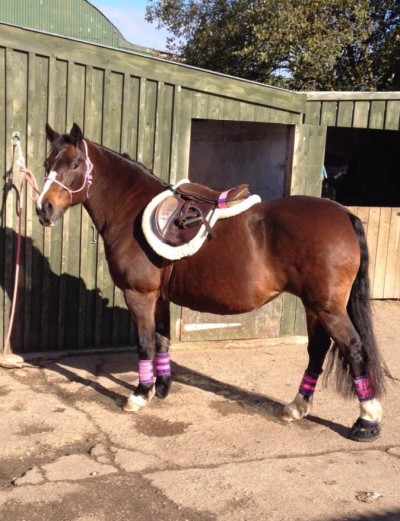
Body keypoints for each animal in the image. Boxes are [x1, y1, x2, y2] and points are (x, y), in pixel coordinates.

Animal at [36, 122, 386, 438]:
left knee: (354, 349)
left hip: (327, 308)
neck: (132, 211)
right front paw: (161, 388)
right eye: (46, 164)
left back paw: (366, 421)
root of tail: (344, 214)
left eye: (75, 164)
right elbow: (162, 339)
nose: (44, 208)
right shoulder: (160, 298)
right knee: (317, 350)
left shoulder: (140, 294)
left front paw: (140, 394)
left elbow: (145, 342)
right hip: (315, 307)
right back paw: (296, 408)